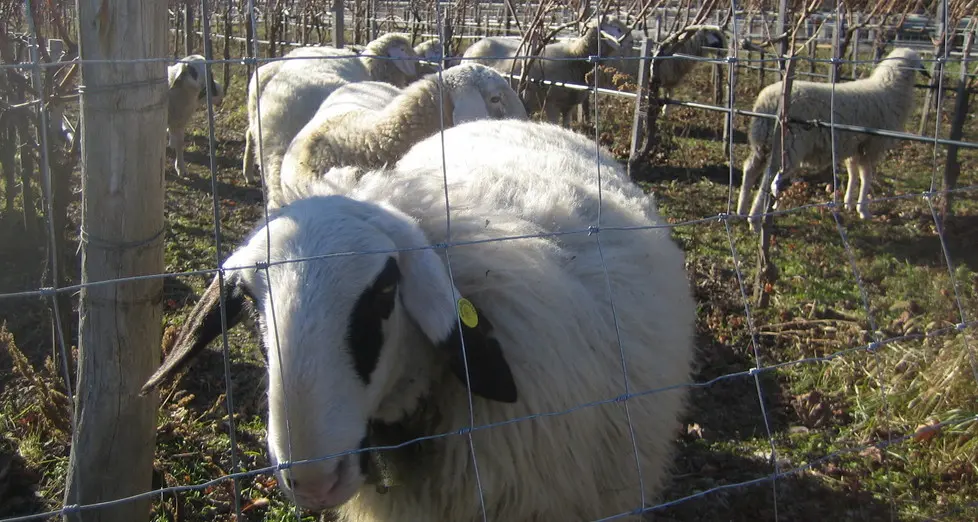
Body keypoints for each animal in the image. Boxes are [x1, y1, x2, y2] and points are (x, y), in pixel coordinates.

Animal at [462, 16, 632, 126]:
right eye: (617, 28)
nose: (631, 42)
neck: (576, 55)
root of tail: (472, 47)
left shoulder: (568, 107)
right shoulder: (551, 104)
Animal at [738, 47, 926, 231]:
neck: (889, 88)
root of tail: (766, 102)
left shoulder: (855, 146)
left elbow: (853, 172)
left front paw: (849, 203)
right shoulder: (871, 146)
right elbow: (866, 176)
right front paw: (863, 210)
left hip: (762, 143)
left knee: (750, 169)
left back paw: (741, 211)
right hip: (787, 147)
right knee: (767, 179)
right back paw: (754, 220)